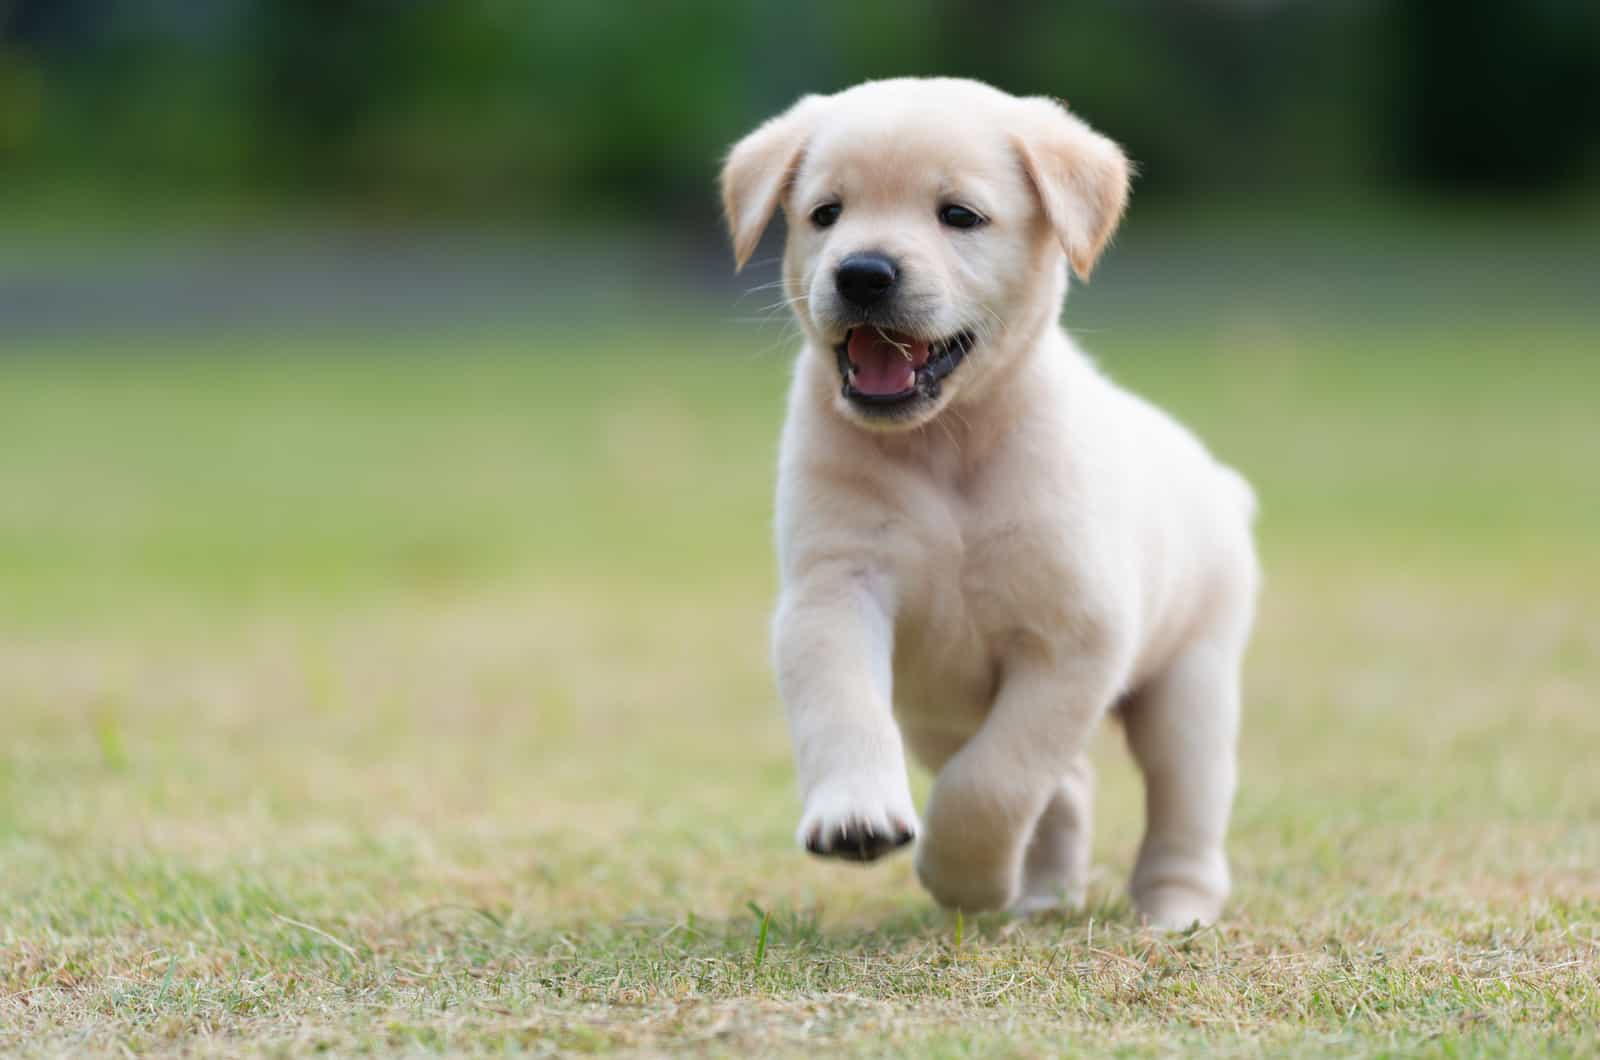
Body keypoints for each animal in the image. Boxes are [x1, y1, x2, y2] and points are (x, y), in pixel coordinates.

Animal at [726, 76, 1260, 928]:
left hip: (1192, 684)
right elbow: (843, 708)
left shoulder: (1074, 641)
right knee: (1067, 788)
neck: (949, 445)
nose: (863, 272)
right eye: (825, 213)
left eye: (959, 215)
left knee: (1183, 806)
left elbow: (996, 780)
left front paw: (963, 875)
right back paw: (1044, 893)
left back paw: (1174, 910)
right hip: (935, 714)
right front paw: (857, 815)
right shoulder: (833, 592)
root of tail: (1220, 483)